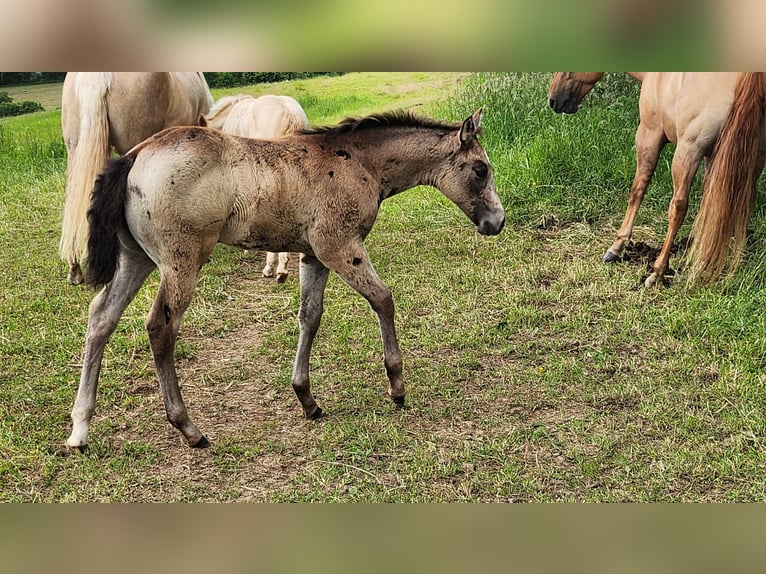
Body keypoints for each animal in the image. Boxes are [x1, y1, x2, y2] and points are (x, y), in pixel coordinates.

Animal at [548, 72, 748, 288]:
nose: (553, 100)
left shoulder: (649, 135)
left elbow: (637, 190)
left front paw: (617, 246)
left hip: (688, 153)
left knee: (678, 207)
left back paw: (658, 271)